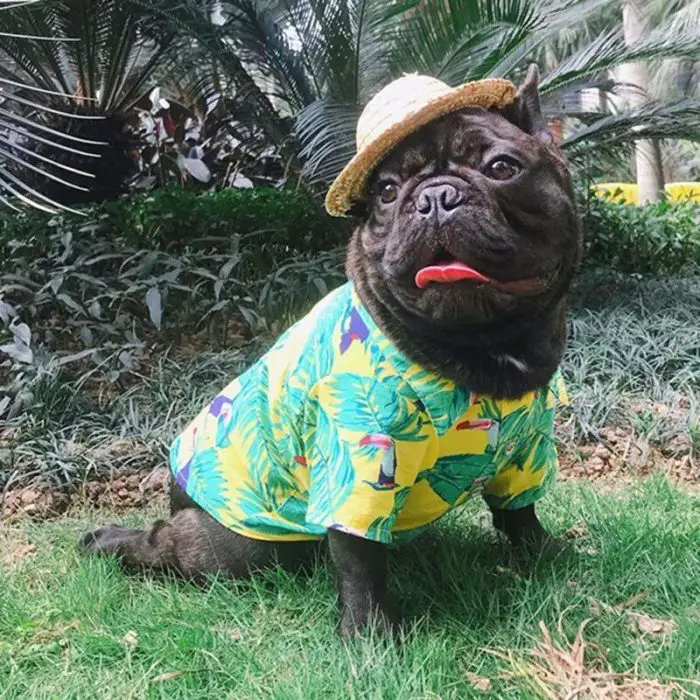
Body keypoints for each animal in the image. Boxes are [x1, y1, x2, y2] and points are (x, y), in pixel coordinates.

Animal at [78, 67, 580, 640]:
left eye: (501, 168)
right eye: (386, 192)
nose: (434, 197)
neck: (484, 344)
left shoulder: (528, 451)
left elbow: (519, 510)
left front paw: (543, 554)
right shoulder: (359, 466)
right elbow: (359, 561)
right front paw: (369, 635)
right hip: (236, 548)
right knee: (169, 545)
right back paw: (104, 542)